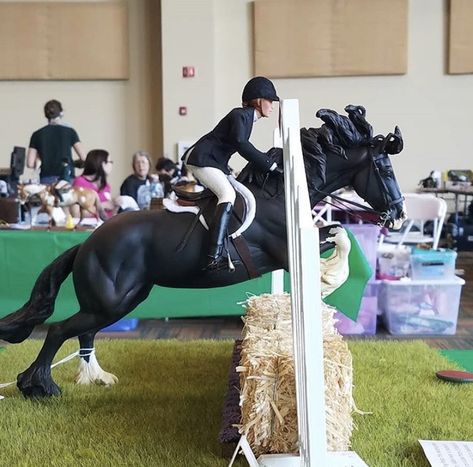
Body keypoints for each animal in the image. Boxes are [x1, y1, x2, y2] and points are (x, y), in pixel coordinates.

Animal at [0, 106, 406, 398]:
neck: (278, 194)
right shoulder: (285, 248)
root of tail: (86, 243)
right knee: (59, 330)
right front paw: (330, 279)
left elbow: (340, 233)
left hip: (120, 301)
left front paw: (329, 277)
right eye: (385, 171)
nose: (399, 215)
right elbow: (340, 238)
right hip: (110, 301)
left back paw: (95, 377)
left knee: (84, 334)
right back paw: (39, 387)